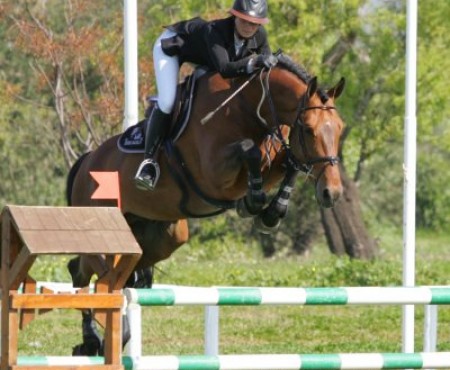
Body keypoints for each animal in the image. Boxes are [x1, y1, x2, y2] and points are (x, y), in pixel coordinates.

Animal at [66, 52, 344, 356]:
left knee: (98, 272)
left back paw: (97, 340)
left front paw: (272, 212)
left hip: (163, 235)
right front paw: (253, 201)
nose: (332, 192)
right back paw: (96, 339)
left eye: (340, 129)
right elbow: (249, 150)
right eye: (308, 129)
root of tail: (86, 162)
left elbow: (290, 163)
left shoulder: (276, 157)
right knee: (91, 274)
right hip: (99, 226)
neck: (248, 105)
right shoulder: (215, 174)